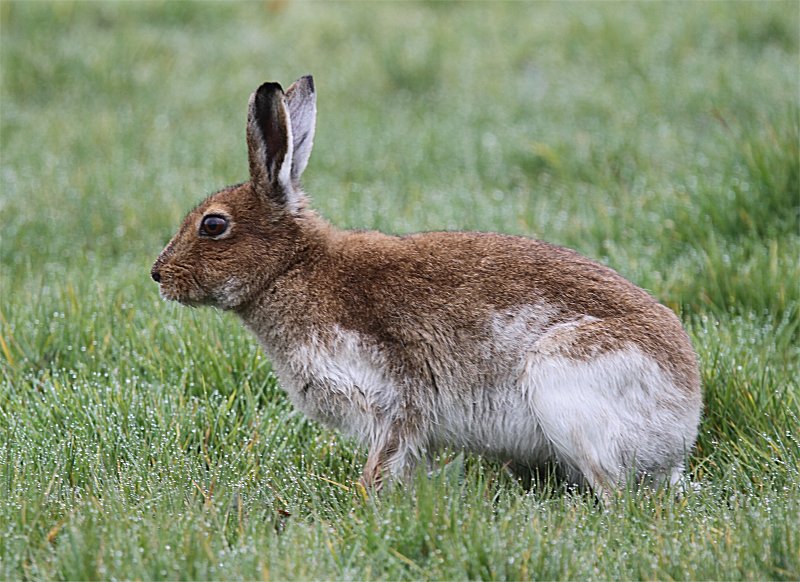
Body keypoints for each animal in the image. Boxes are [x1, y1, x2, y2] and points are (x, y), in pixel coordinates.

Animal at [151, 75, 702, 496]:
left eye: (213, 225)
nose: (158, 275)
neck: (292, 266)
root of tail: (682, 421)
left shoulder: (392, 402)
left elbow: (387, 459)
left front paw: (365, 502)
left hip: (565, 389)